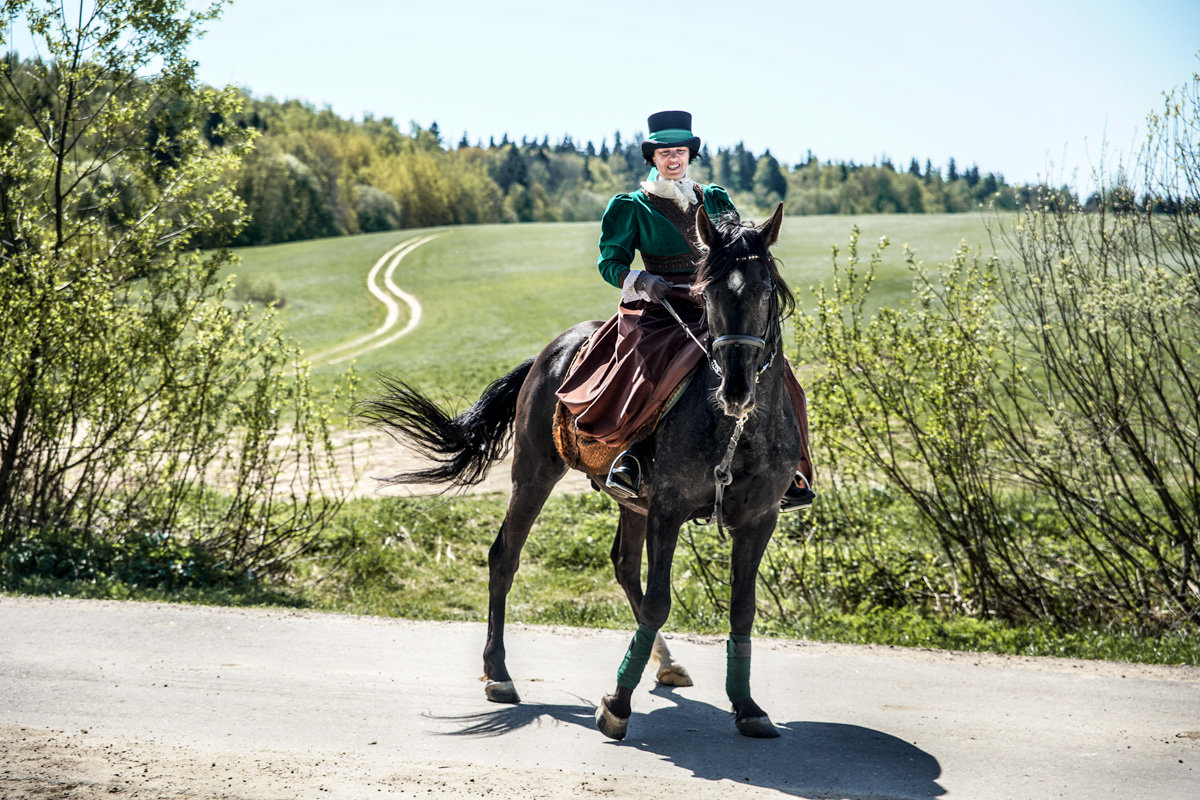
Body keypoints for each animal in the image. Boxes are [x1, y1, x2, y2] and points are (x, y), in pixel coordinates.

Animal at [360, 205, 801, 738]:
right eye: (707, 293)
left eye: (764, 290)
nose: (735, 389)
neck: (733, 429)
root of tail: (548, 353)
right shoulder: (669, 509)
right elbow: (659, 602)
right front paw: (617, 705)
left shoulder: (759, 519)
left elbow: (742, 608)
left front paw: (748, 706)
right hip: (534, 475)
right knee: (505, 557)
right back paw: (499, 673)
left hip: (633, 501)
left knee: (624, 565)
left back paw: (666, 662)